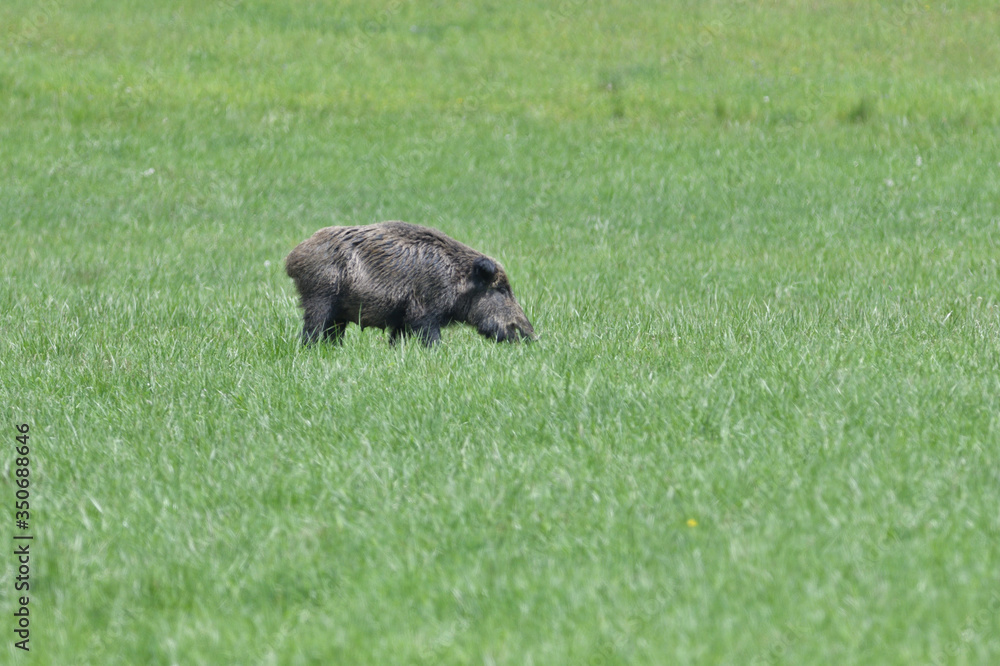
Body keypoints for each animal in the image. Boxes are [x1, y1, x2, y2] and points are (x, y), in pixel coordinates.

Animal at [285, 221, 535, 346]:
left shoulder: (402, 317)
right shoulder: (422, 311)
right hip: (320, 296)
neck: (455, 279)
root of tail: (292, 257)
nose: (533, 336)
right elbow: (431, 338)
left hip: (338, 313)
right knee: (311, 331)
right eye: (501, 289)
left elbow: (397, 341)